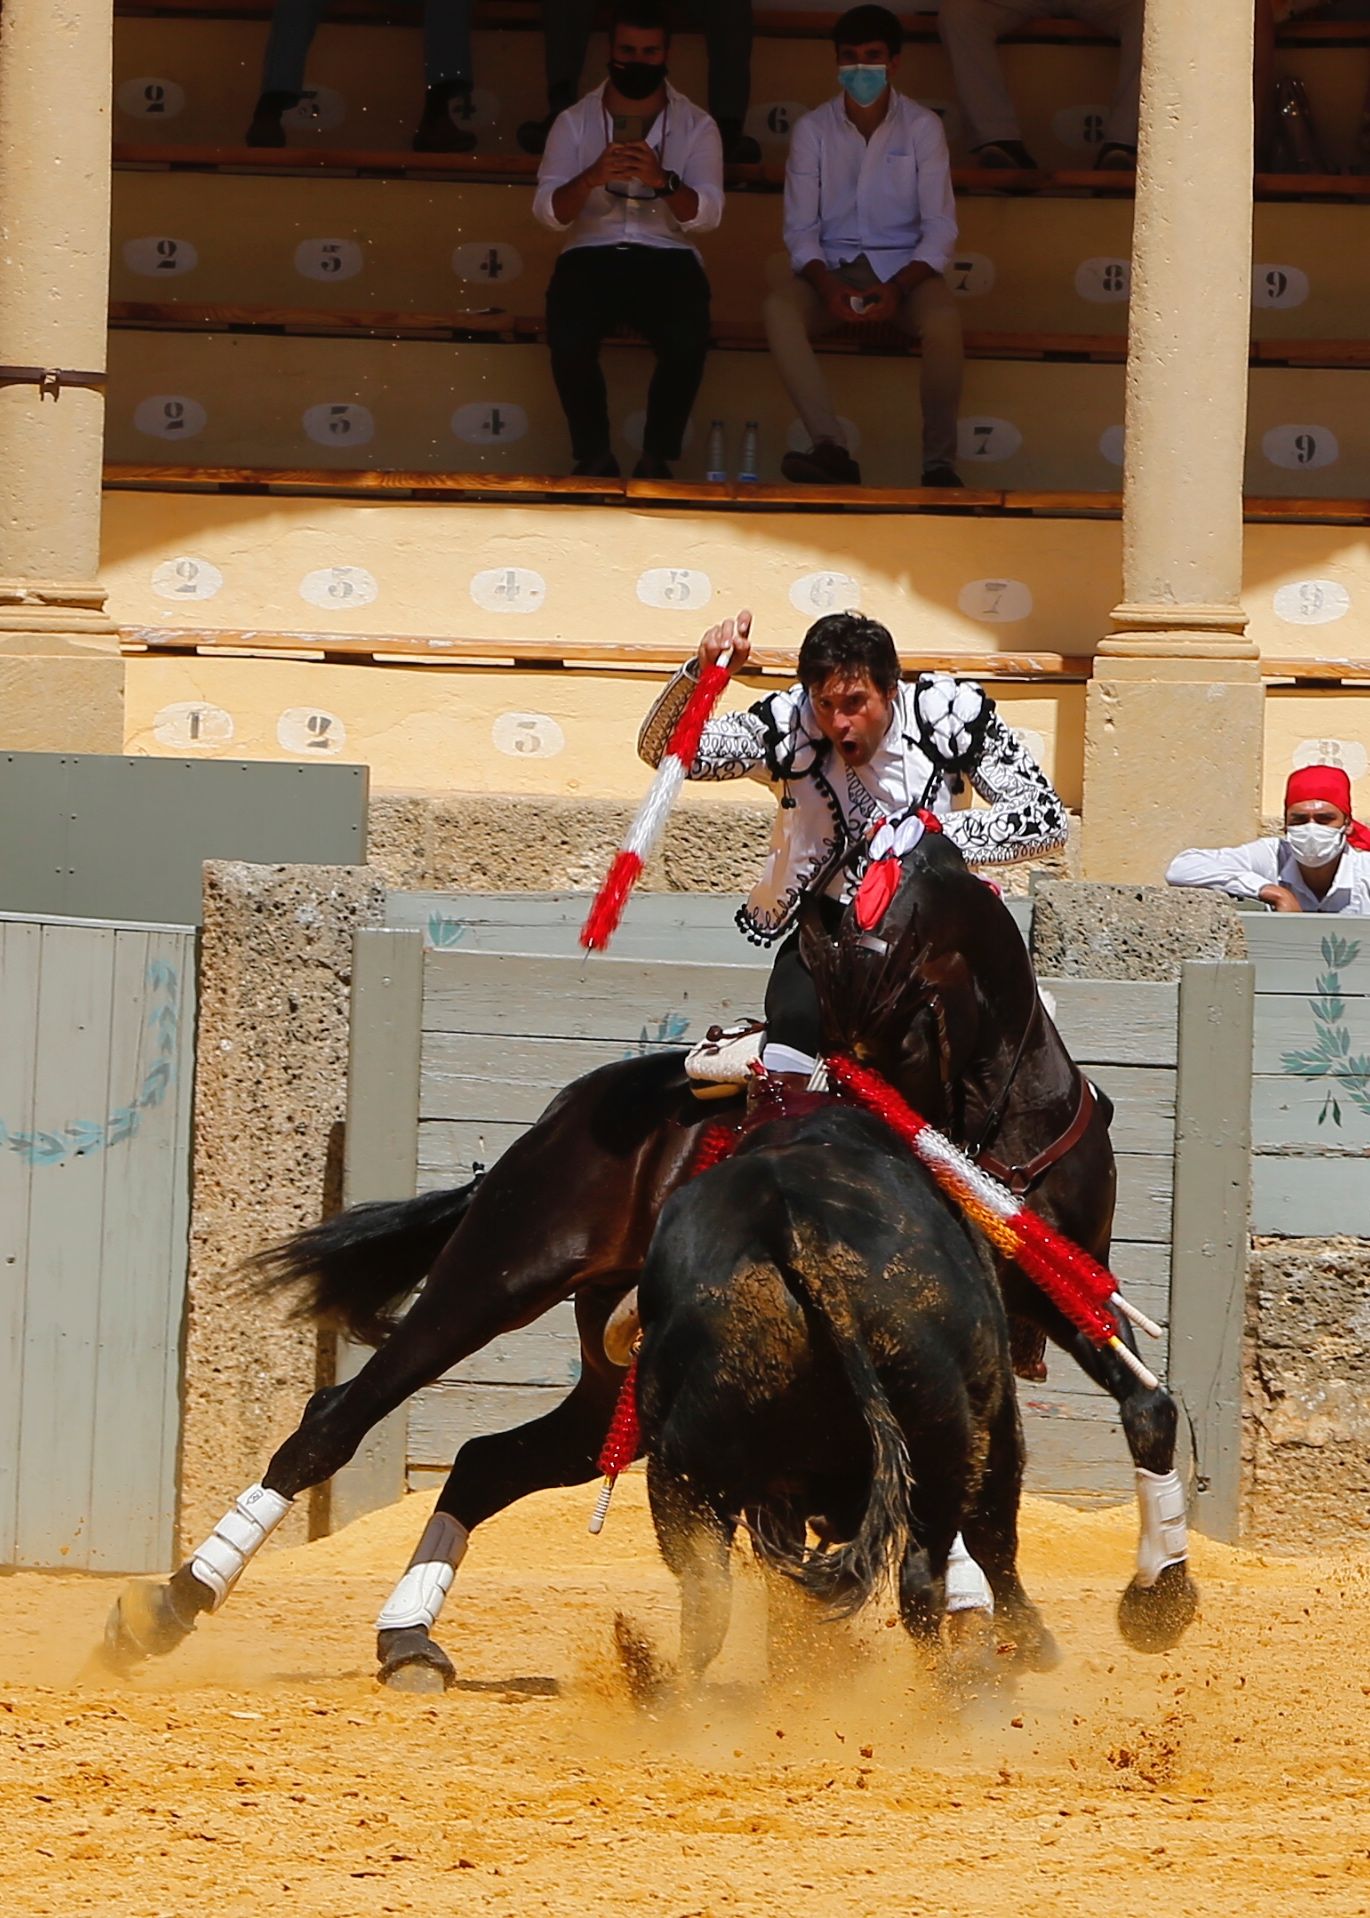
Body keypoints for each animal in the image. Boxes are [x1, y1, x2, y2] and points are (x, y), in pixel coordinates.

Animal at [104, 832, 1197, 1687]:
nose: (846, 1098)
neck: (994, 1116)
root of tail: (567, 1108)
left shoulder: (1056, 1289)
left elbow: (1147, 1404)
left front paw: (1158, 1594)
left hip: (612, 1385)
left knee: (485, 1461)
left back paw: (407, 1635)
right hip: (496, 1274)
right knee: (337, 1420)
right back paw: (170, 1606)